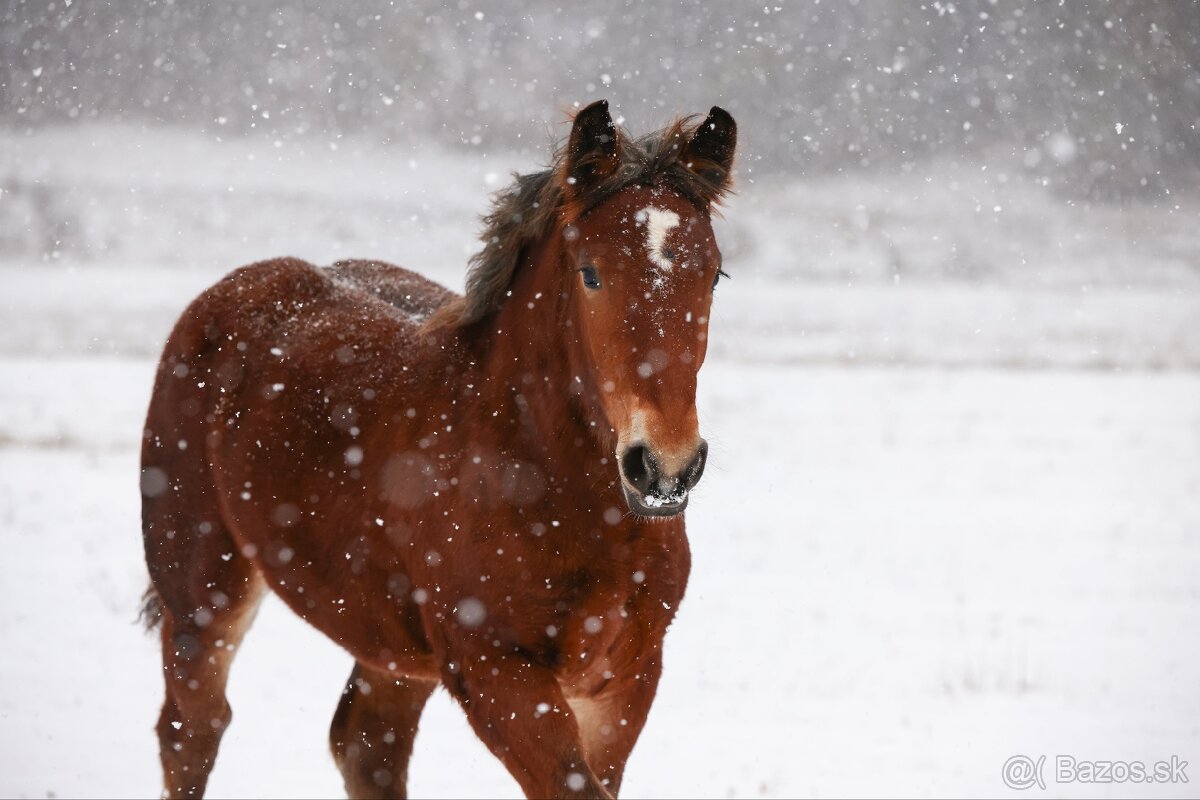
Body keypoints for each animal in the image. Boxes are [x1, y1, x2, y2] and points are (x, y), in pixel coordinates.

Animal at [140, 101, 739, 800]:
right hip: (202, 593)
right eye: (591, 273)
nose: (665, 466)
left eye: (714, 275)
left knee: (366, 743)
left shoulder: (628, 676)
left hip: (392, 645)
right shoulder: (493, 669)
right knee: (192, 732)